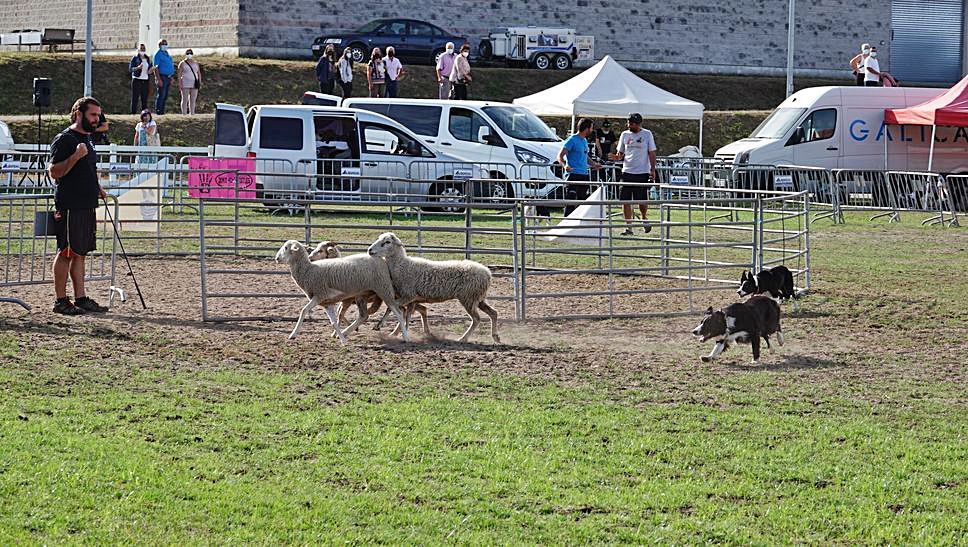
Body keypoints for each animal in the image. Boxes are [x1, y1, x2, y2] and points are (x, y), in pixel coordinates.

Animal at [272, 240, 412, 342]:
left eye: (286, 248)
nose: (276, 258)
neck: (308, 270)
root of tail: (381, 260)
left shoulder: (319, 295)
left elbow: (303, 311)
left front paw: (293, 334)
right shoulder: (326, 302)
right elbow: (334, 321)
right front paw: (341, 339)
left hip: (384, 289)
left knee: (398, 312)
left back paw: (405, 336)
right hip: (362, 295)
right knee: (364, 315)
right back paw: (347, 332)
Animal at [364, 231, 500, 342]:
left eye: (387, 242)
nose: (370, 250)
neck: (402, 265)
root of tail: (487, 273)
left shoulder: (409, 295)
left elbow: (391, 308)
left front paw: (380, 325)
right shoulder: (411, 299)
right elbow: (405, 314)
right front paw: (399, 332)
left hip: (468, 298)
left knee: (477, 319)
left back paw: (463, 338)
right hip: (477, 297)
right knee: (493, 313)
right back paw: (495, 337)